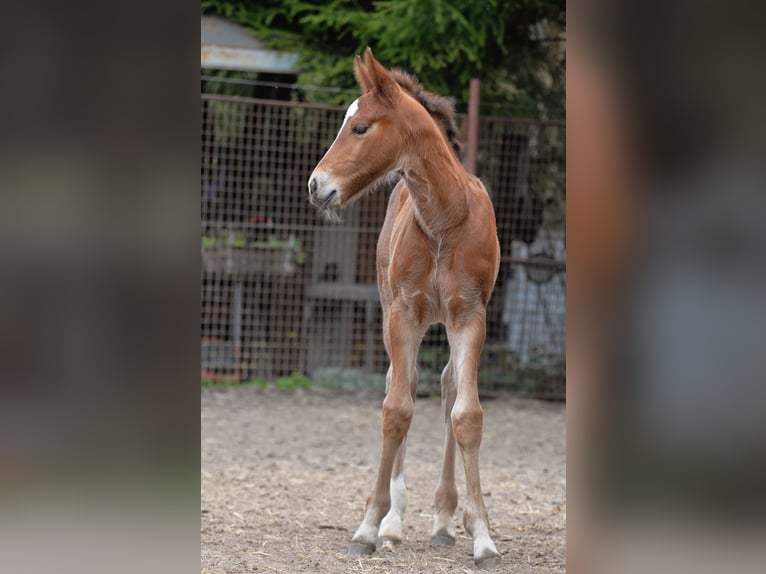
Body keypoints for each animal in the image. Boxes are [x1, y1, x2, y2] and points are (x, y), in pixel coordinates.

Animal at [307, 48, 502, 570]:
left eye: (360, 127)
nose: (316, 185)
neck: (446, 220)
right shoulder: (403, 314)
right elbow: (396, 408)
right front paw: (370, 527)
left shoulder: (470, 316)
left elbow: (466, 415)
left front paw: (481, 535)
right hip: (390, 312)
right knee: (405, 383)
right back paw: (395, 522)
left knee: (446, 385)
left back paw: (443, 521)